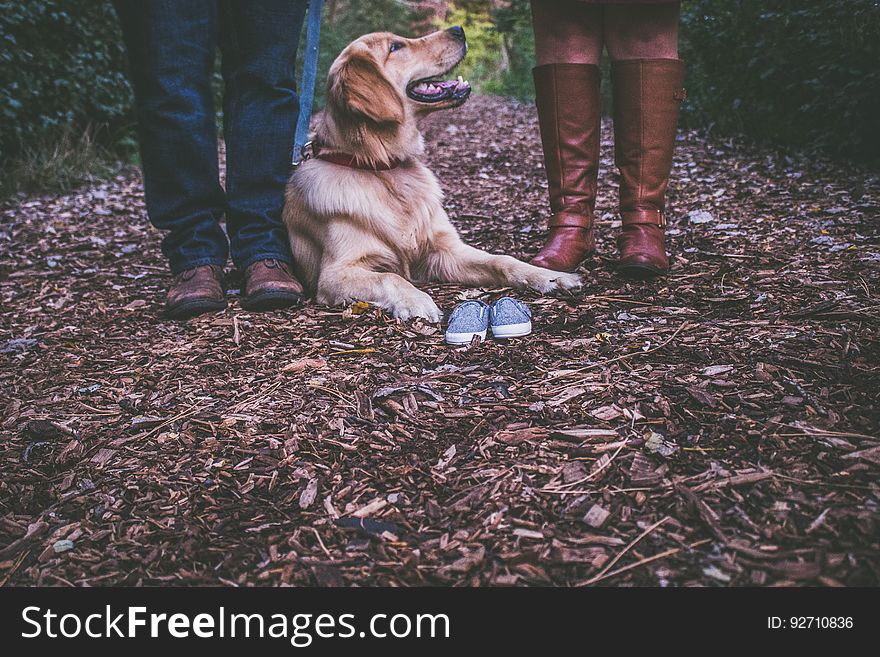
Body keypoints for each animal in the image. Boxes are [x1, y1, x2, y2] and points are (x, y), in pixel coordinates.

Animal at [286, 27, 580, 320]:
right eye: (395, 47)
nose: (459, 30)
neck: (383, 168)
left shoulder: (445, 250)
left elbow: (500, 259)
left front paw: (548, 275)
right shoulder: (335, 273)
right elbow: (391, 277)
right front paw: (416, 300)